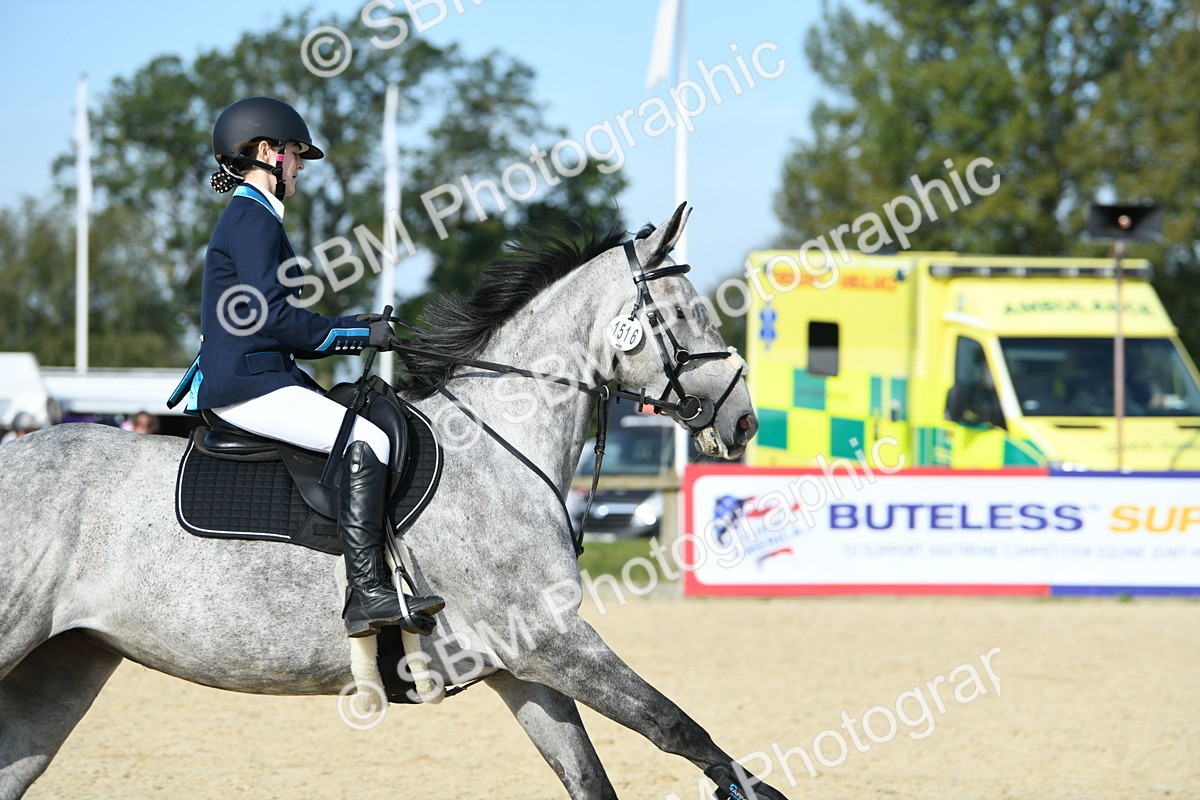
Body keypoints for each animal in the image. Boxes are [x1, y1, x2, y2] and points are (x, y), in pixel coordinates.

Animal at [0, 204, 788, 800]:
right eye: (684, 313)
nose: (743, 419)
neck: (499, 444)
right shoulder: (554, 643)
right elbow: (678, 727)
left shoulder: (524, 664)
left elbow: (593, 777)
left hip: (64, 664)